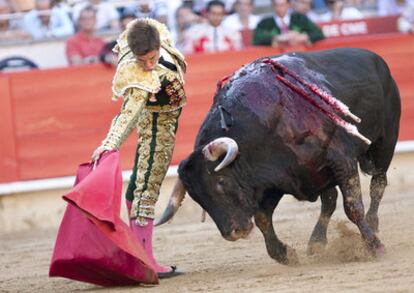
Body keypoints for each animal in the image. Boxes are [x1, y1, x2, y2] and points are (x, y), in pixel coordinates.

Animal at [156, 47, 402, 262]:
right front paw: (284, 255)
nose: (232, 232)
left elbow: (353, 207)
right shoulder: (273, 179)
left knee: (378, 184)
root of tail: (375, 59)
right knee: (329, 201)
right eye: (197, 197)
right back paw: (316, 242)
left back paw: (373, 223)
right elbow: (263, 219)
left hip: (385, 143)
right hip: (320, 173)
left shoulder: (341, 159)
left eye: (221, 181)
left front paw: (375, 247)